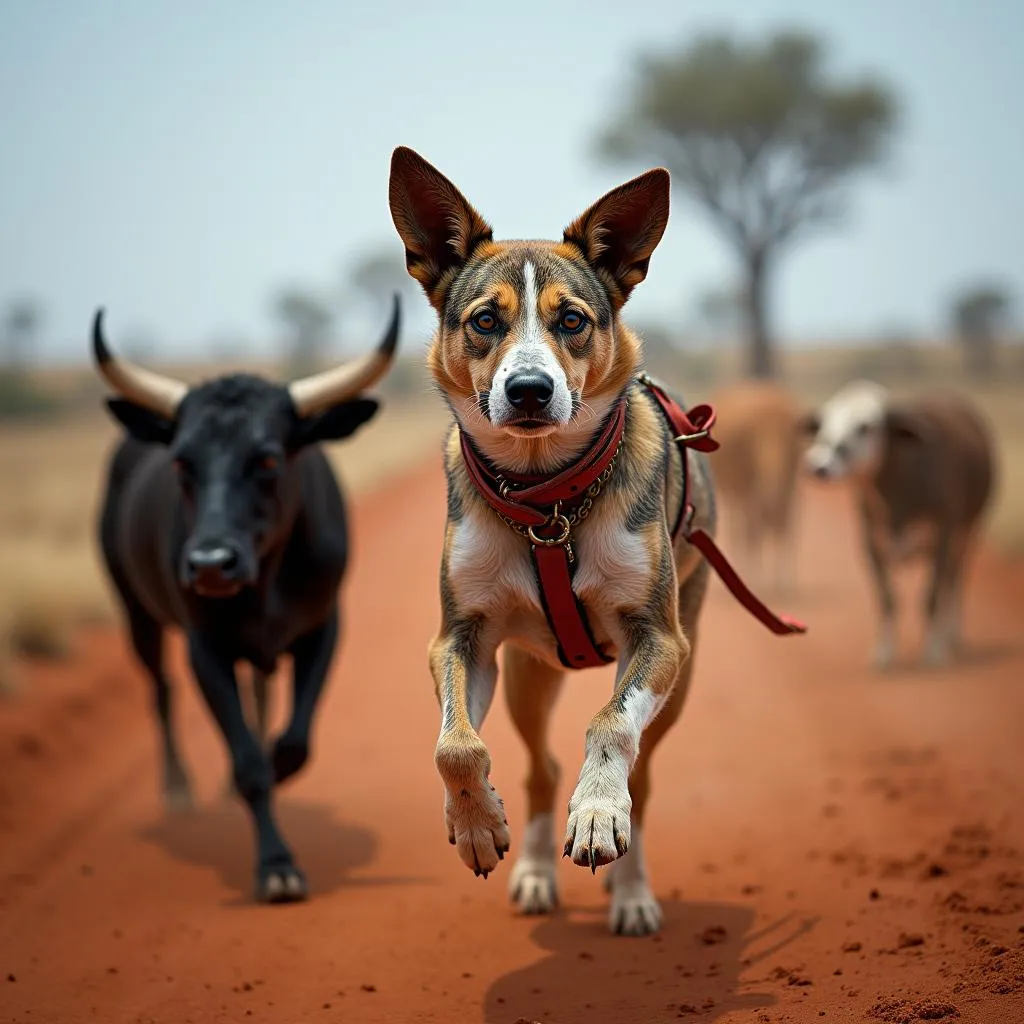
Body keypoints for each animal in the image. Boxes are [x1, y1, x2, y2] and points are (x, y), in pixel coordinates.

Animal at [93, 299, 399, 905]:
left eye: (267, 461)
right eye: (182, 463)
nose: (211, 564)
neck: (266, 583)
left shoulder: (324, 629)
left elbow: (294, 745)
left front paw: (277, 772)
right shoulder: (205, 648)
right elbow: (249, 765)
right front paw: (277, 865)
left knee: (259, 694)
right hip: (136, 612)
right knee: (160, 689)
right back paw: (179, 789)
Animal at [708, 380, 802, 593]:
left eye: (792, 444)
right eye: (747, 440)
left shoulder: (792, 472)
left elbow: (787, 521)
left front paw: (785, 585)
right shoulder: (747, 467)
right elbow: (753, 525)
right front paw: (756, 583)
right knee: (741, 522)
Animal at [798, 380, 991, 667]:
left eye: (865, 426)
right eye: (824, 423)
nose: (820, 465)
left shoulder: (943, 536)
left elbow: (932, 596)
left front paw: (933, 651)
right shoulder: (871, 545)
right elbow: (887, 600)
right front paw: (884, 653)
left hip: (969, 530)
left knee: (955, 581)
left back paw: (951, 635)